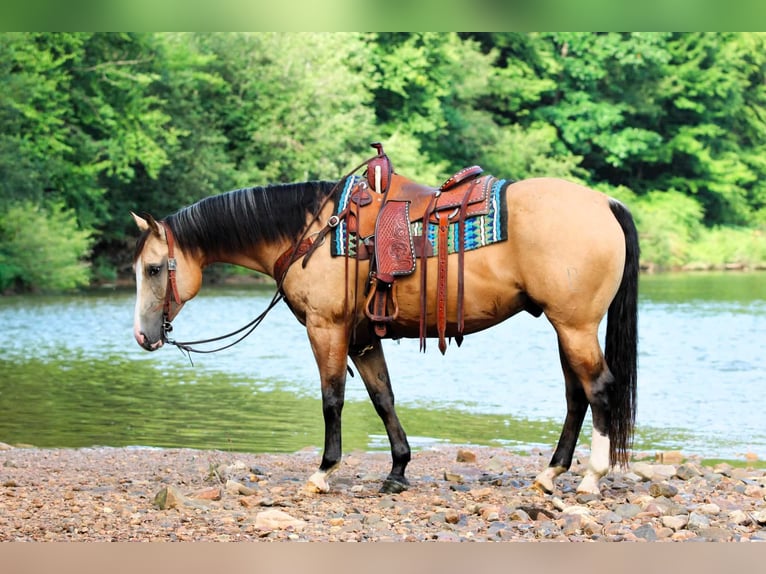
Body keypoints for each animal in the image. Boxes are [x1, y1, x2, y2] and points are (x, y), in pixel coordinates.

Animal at [131, 169, 638, 496]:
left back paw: (591, 478)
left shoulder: (327, 329)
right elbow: (383, 398)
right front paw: (397, 471)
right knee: (576, 396)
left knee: (599, 389)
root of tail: (603, 203)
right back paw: (550, 474)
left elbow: (332, 399)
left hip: (574, 326)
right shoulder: (363, 338)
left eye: (154, 269)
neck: (311, 234)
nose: (141, 336)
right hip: (564, 326)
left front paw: (324, 472)